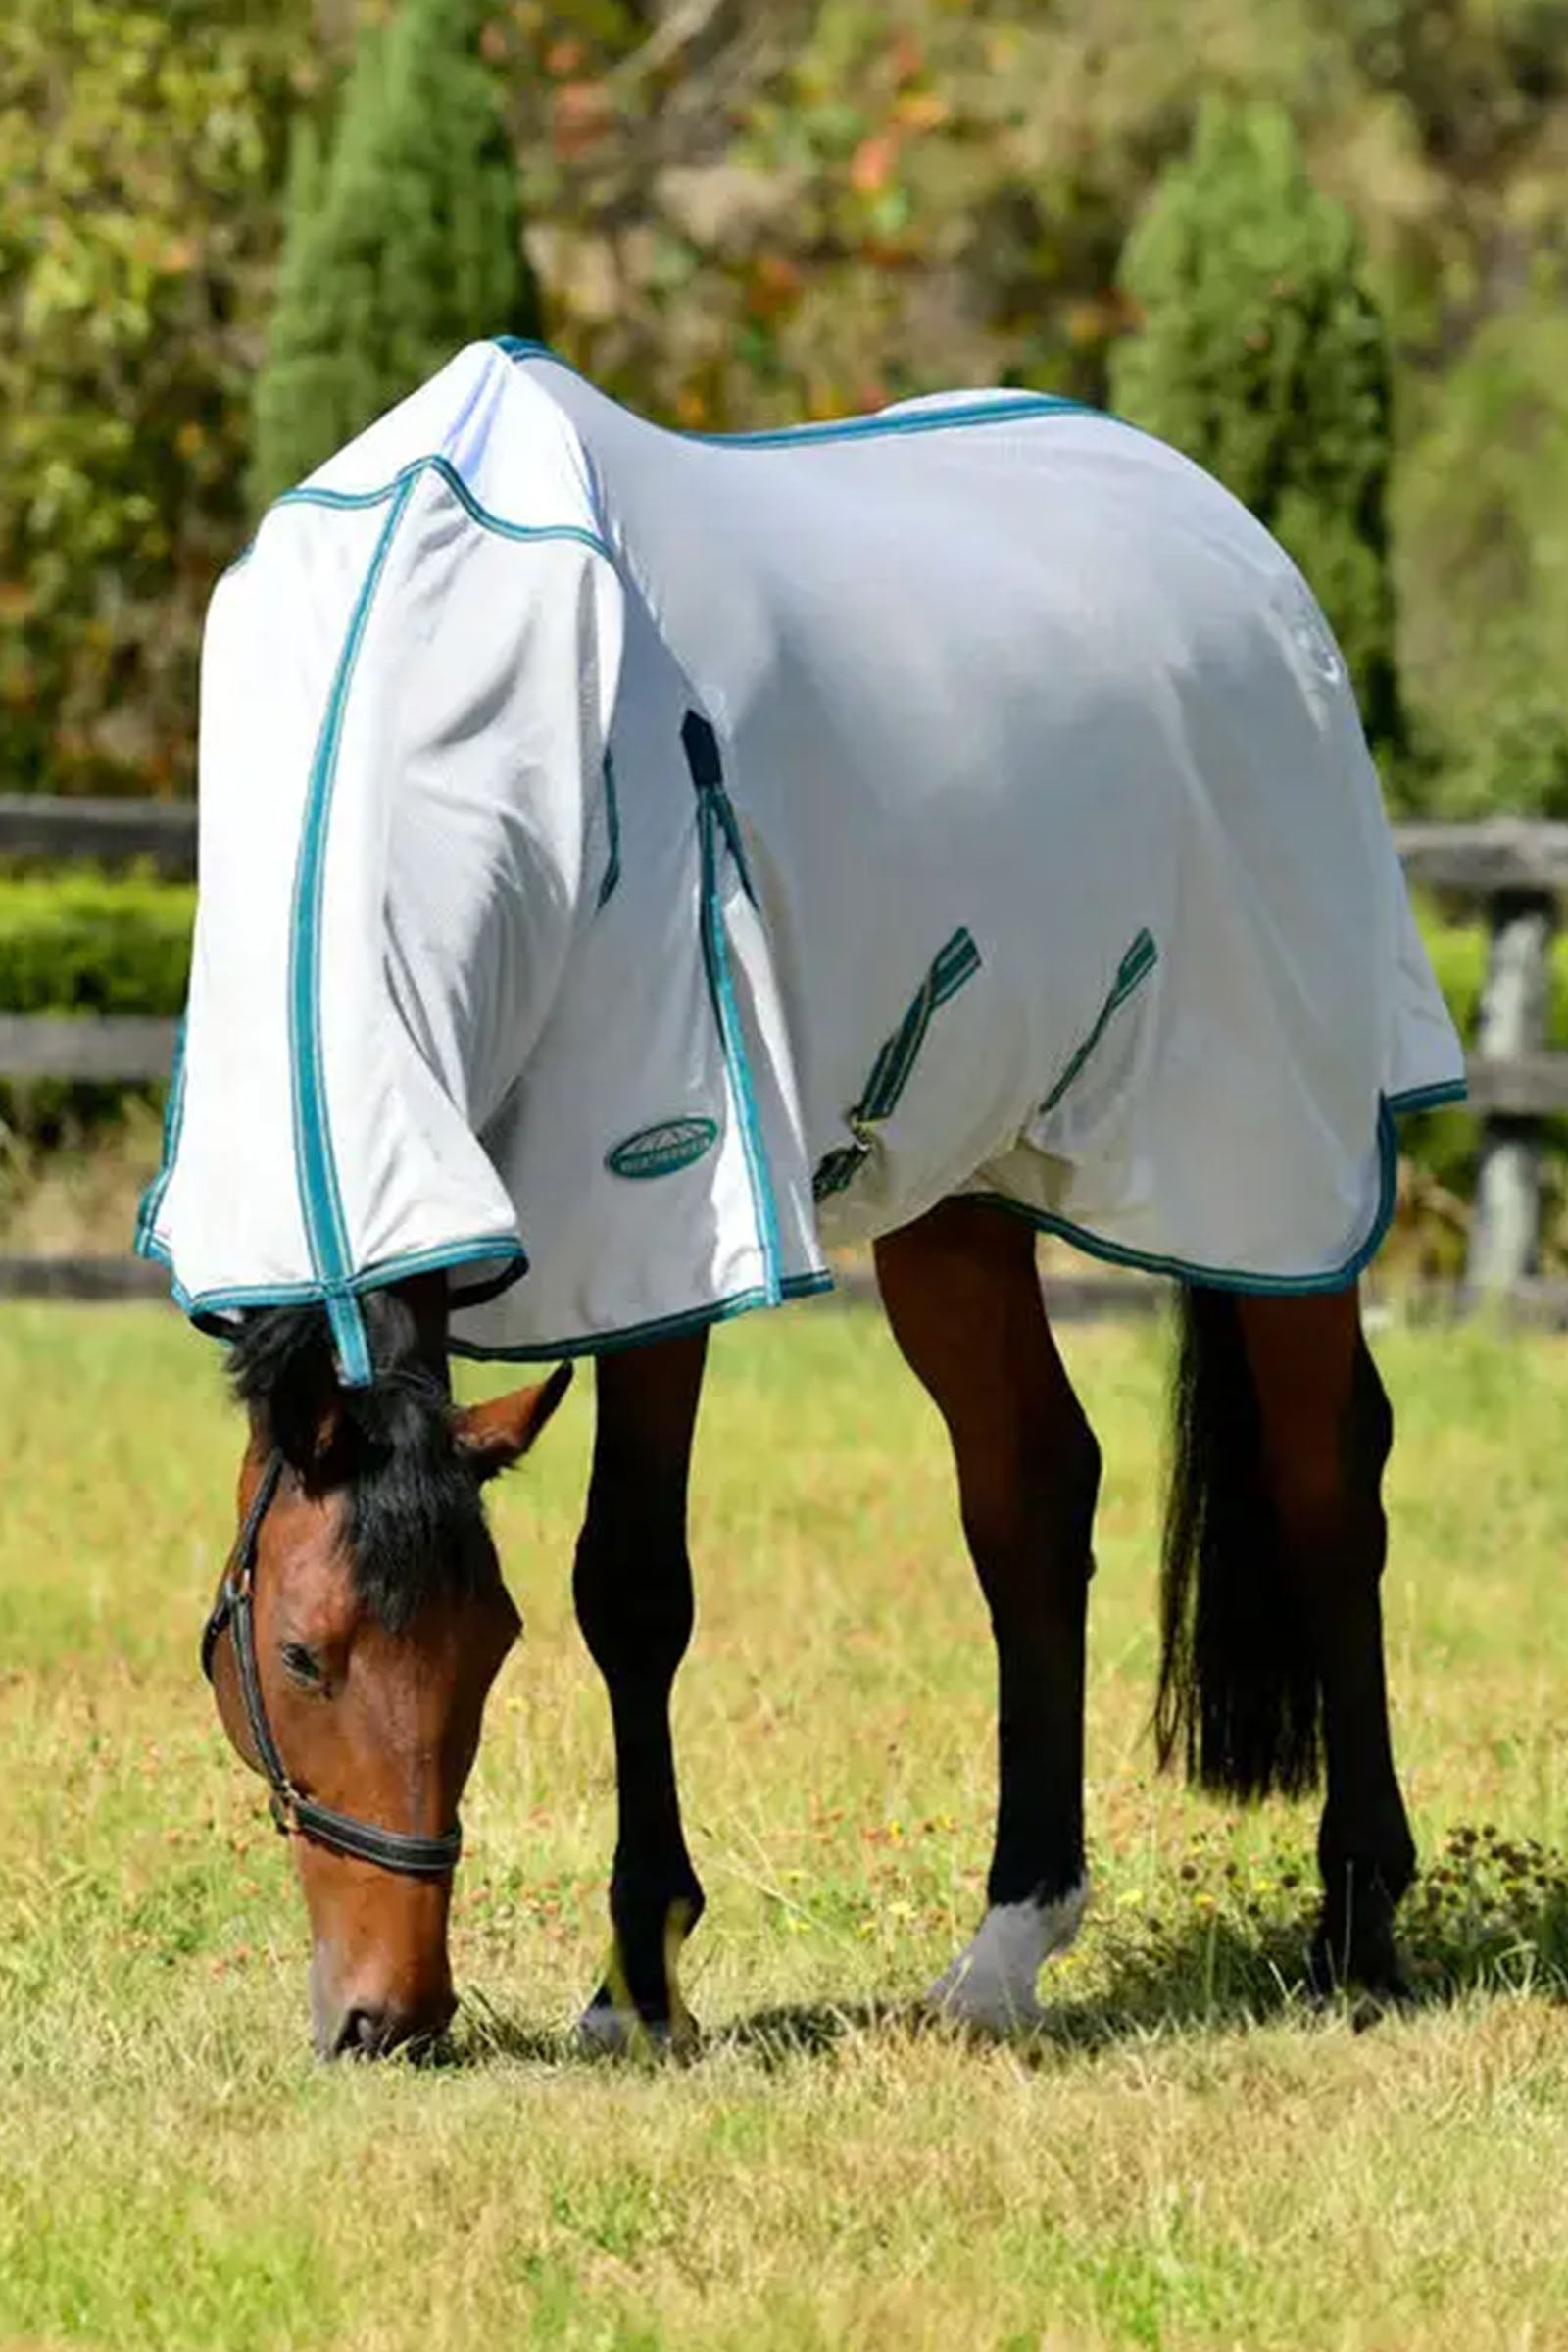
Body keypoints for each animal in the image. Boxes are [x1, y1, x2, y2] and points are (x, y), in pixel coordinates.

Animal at [144, 340, 1464, 2055]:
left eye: (486, 1646)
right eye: (300, 1656)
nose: (392, 2016)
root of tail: (1240, 553)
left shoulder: (660, 1219)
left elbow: (632, 1586)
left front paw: (638, 1979)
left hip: (1277, 1166)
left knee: (1326, 1482)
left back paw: (1358, 1927)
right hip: (958, 1187)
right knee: (1031, 1492)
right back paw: (1006, 1948)